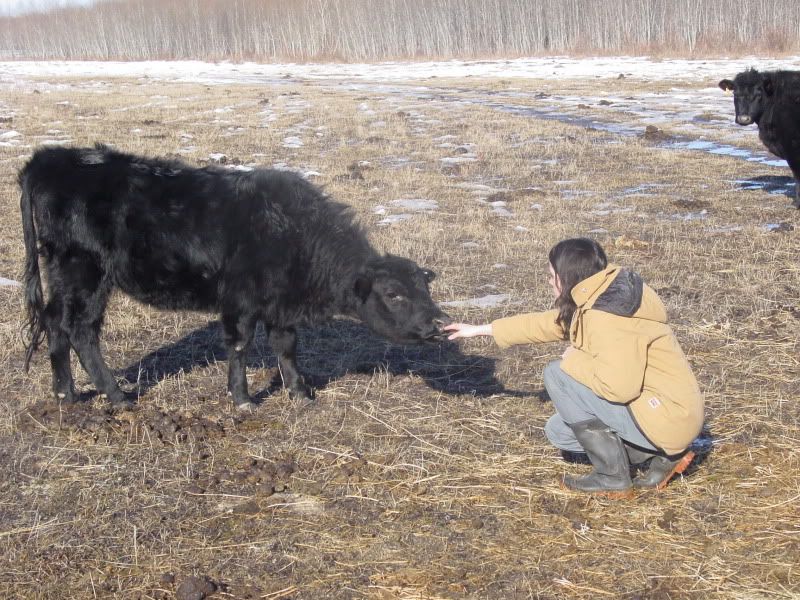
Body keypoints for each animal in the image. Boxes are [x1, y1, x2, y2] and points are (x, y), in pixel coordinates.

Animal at [20, 145, 452, 410]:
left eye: (425, 285)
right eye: (393, 293)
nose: (439, 323)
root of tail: (51, 158)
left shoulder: (280, 306)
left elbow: (287, 346)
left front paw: (300, 392)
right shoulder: (240, 300)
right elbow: (241, 345)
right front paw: (242, 399)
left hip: (61, 272)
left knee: (55, 322)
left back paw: (65, 393)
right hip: (85, 272)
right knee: (81, 330)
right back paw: (117, 396)